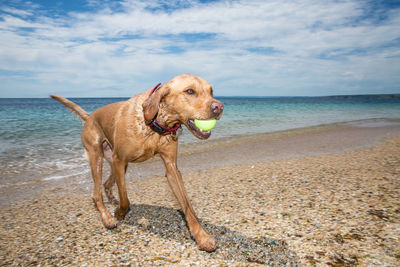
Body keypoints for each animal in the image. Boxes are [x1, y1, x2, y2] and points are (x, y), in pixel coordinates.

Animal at [50, 74, 223, 252]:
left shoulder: (171, 168)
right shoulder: (120, 159)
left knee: (106, 184)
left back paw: (112, 201)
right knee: (96, 194)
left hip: (114, 162)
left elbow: (187, 206)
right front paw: (119, 213)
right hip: (97, 157)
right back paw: (106, 216)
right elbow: (126, 200)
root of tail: (90, 116)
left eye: (211, 91)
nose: (219, 107)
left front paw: (202, 236)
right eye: (189, 91)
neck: (155, 124)